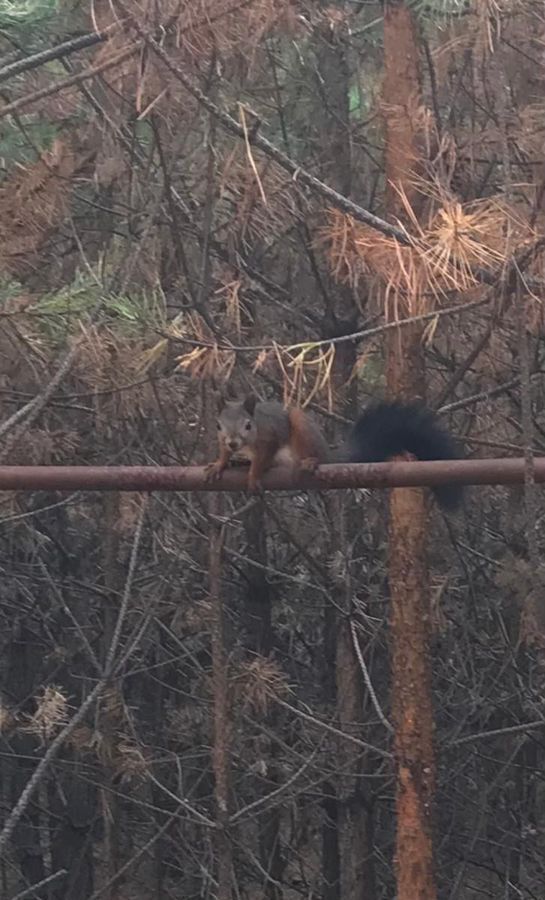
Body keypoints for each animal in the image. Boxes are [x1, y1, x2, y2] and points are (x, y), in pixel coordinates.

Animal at [206, 392, 462, 506]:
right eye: (217, 425)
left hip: (302, 429)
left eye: (248, 425)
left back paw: (310, 461)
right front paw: (219, 464)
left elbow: (263, 458)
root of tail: (329, 453)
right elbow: (224, 454)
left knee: (313, 456)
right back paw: (239, 461)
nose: (233, 442)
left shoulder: (270, 436)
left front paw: (253, 475)